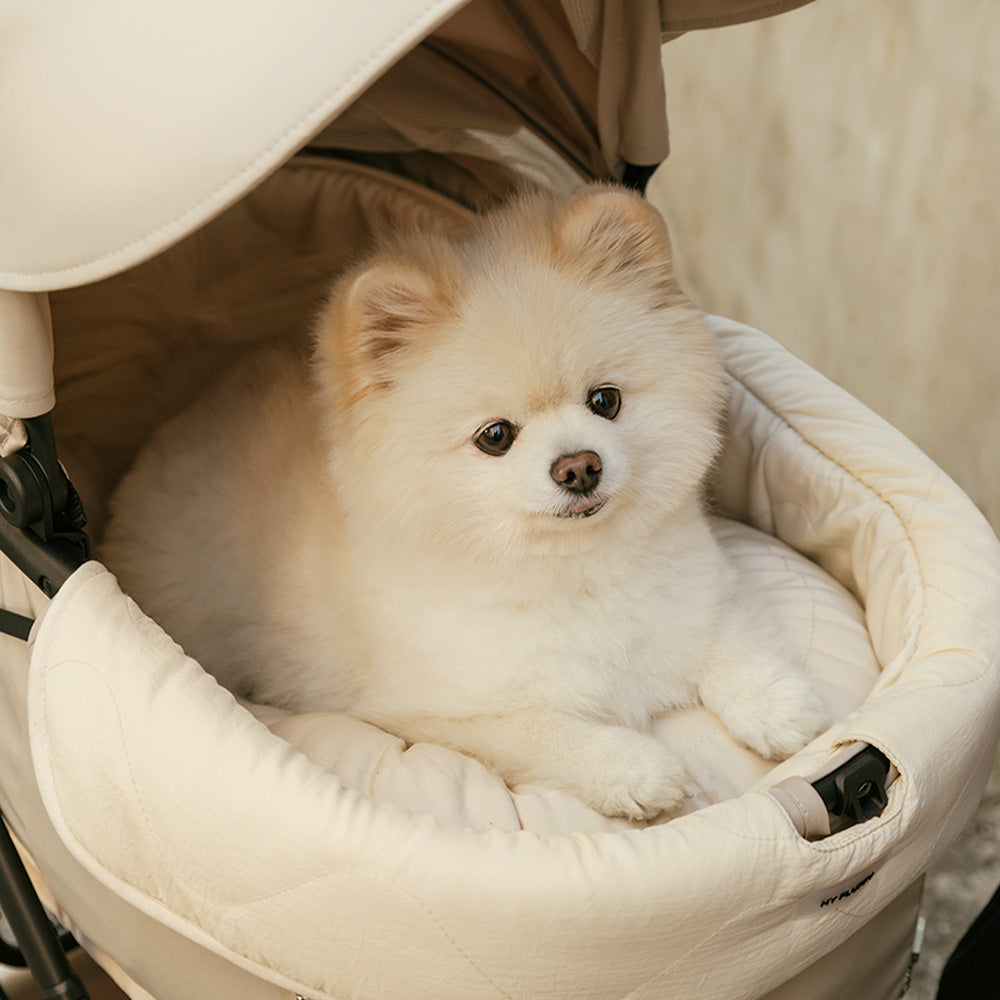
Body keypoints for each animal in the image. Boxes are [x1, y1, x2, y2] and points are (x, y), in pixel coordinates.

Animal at [105, 188, 832, 820]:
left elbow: (730, 639)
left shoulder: (704, 591)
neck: (574, 572)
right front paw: (637, 771)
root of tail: (181, 411)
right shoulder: (439, 714)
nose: (579, 467)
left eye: (606, 401)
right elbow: (550, 733)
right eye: (496, 437)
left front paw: (781, 706)